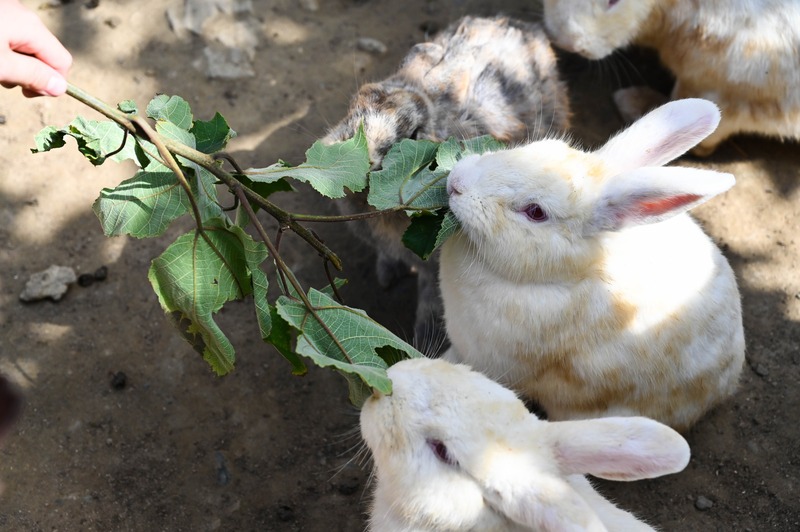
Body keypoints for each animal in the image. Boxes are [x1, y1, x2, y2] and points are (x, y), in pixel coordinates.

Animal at [322, 15, 571, 343]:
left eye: (414, 134)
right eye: (357, 102)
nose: (352, 157)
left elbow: (431, 297)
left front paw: (422, 333)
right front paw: (386, 275)